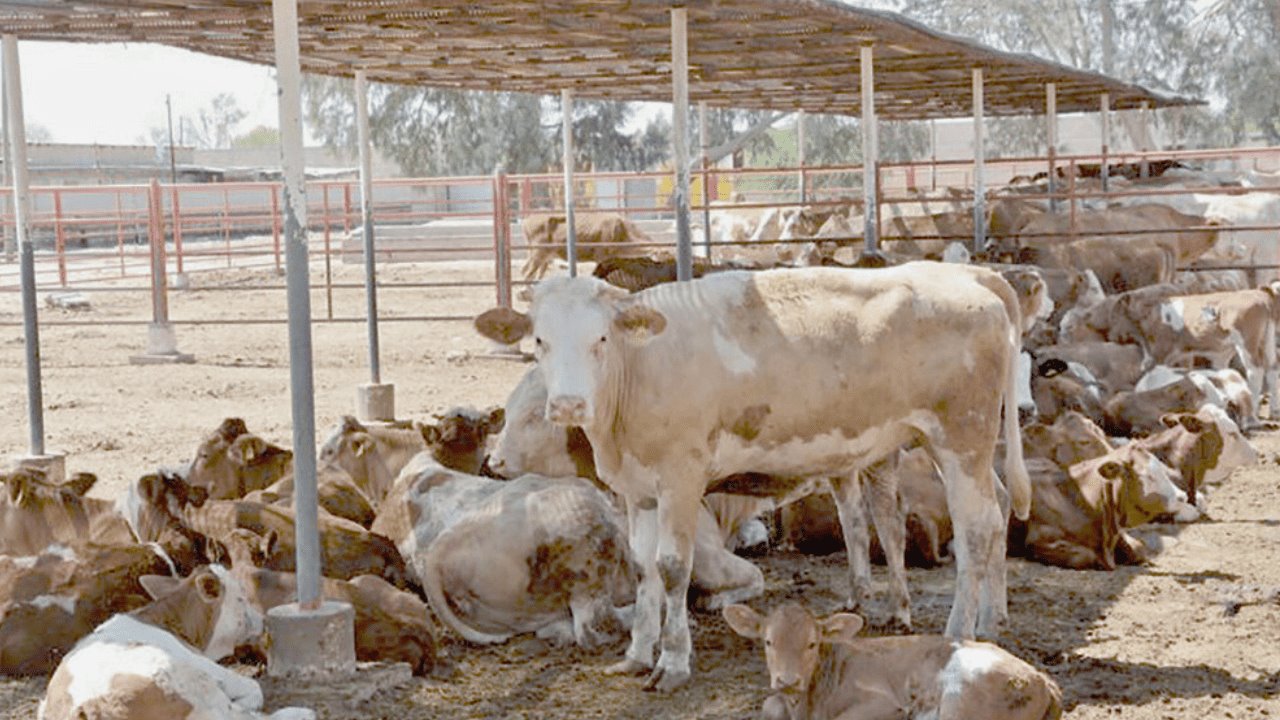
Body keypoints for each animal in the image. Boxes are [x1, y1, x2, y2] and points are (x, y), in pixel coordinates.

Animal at [40, 563, 312, 717]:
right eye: (241, 598)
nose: (262, 620)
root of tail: (91, 708)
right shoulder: (201, 663)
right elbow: (253, 688)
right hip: (186, 677)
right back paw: (299, 712)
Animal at [478, 263, 1029, 691]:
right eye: (541, 340)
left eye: (601, 338)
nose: (568, 405)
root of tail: (972, 279)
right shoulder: (637, 489)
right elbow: (642, 568)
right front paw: (636, 654)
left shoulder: (681, 478)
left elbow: (672, 567)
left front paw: (672, 662)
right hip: (960, 448)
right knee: (997, 508)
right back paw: (991, 618)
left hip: (962, 438)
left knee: (976, 529)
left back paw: (959, 631)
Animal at [721, 599, 1059, 717]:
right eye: (768, 642)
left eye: (812, 644)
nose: (788, 680)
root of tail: (1042, 678)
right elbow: (769, 705)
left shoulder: (884, 703)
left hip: (960, 702)